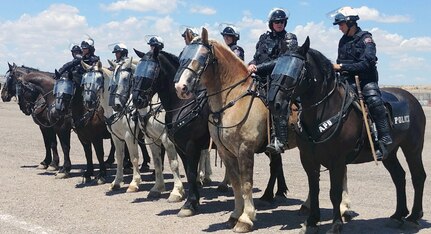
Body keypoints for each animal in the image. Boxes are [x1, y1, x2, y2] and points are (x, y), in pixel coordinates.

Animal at [130, 48, 288, 218]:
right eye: (136, 71)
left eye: (150, 70)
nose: (137, 100)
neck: (184, 105)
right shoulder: (181, 147)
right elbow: (188, 173)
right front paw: (194, 200)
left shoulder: (191, 146)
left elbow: (191, 172)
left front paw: (189, 203)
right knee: (277, 163)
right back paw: (278, 192)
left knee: (275, 165)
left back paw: (268, 195)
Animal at [175, 27, 290, 232]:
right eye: (182, 56)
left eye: (202, 57)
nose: (181, 87)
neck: (233, 100)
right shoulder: (225, 151)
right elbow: (236, 183)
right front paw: (235, 215)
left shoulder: (245, 149)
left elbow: (246, 183)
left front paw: (246, 219)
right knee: (276, 165)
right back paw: (271, 195)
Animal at [272, 36, 426, 232]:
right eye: (278, 65)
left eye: (297, 69)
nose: (275, 103)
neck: (326, 111)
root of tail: (413, 99)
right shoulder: (308, 159)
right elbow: (314, 189)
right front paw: (312, 221)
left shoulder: (337, 161)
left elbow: (335, 193)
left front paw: (336, 224)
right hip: (390, 153)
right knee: (399, 177)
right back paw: (398, 215)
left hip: (413, 148)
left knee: (418, 176)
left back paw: (414, 216)